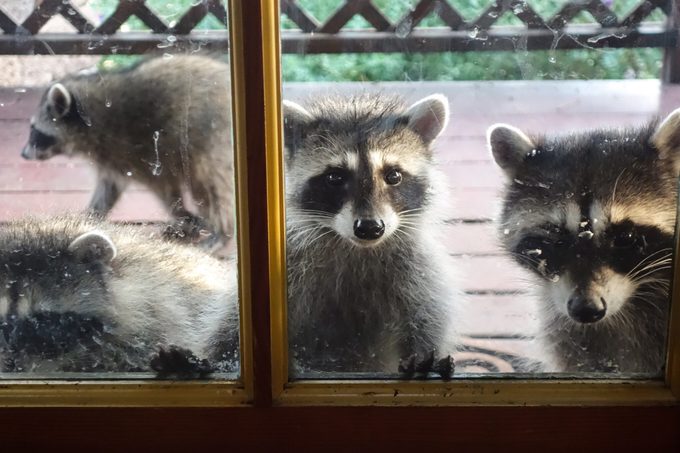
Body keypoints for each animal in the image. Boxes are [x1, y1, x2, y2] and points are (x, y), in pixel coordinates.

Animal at [21, 54, 235, 249]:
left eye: (34, 130)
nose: (23, 154)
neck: (91, 117)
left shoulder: (139, 150)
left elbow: (165, 188)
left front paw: (182, 213)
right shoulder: (112, 158)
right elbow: (109, 188)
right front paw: (91, 215)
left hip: (214, 141)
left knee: (215, 185)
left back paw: (222, 232)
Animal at [278, 92, 460, 378]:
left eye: (393, 175)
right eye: (334, 177)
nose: (370, 228)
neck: (359, 248)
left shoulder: (421, 274)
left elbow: (427, 322)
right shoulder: (292, 266)